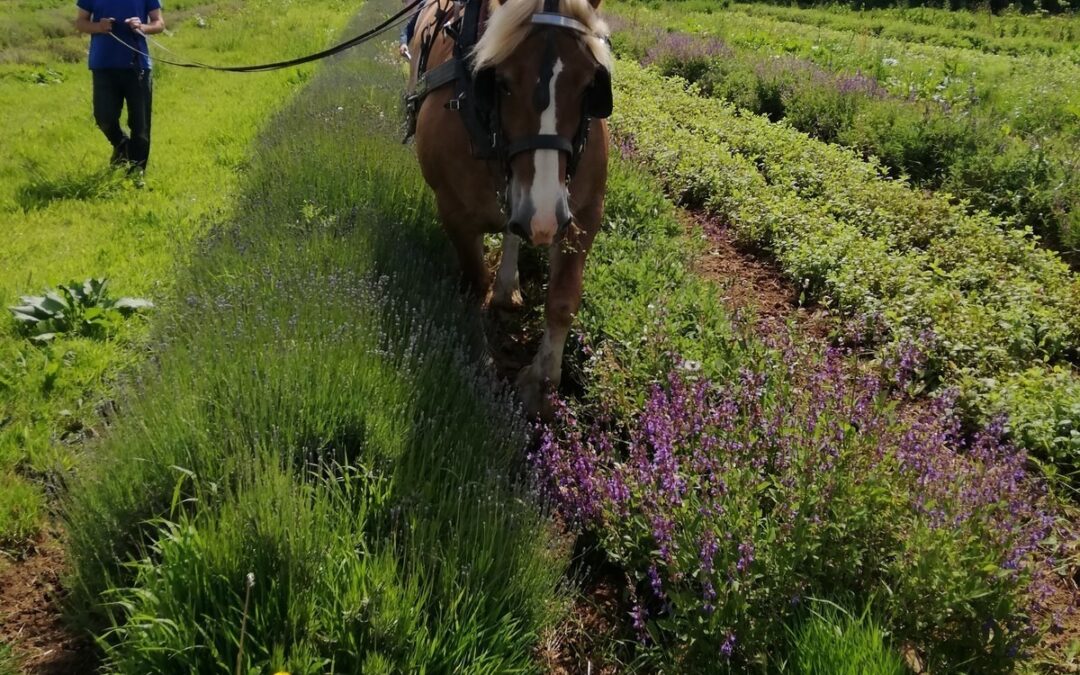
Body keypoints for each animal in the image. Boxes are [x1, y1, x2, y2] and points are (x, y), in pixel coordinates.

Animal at [406, 0, 613, 416]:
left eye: (589, 85)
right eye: (500, 81)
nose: (545, 216)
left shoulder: (584, 213)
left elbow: (562, 301)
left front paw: (541, 386)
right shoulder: (454, 211)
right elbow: (474, 283)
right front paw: (477, 362)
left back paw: (509, 284)